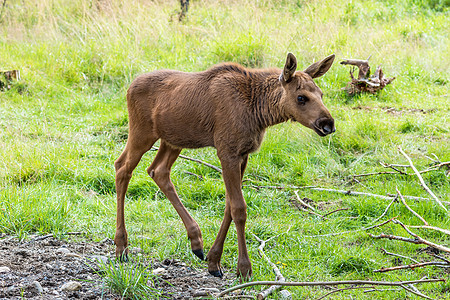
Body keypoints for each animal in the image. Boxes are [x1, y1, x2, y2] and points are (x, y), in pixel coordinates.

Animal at [114, 51, 336, 278]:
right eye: (301, 97)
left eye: (321, 94)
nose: (328, 124)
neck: (260, 112)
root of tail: (129, 87)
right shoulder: (227, 152)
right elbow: (239, 208)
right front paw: (244, 268)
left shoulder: (243, 154)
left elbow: (229, 205)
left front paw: (214, 260)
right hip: (142, 132)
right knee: (122, 168)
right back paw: (122, 246)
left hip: (173, 140)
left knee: (157, 171)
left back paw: (196, 241)